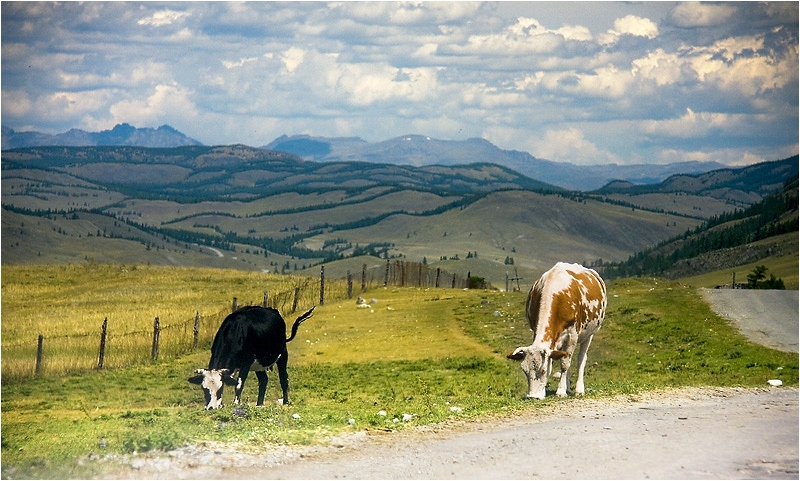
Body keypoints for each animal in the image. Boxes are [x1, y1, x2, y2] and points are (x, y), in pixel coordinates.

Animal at [506, 262, 608, 398]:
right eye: (525, 371)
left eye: (543, 370)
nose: (532, 396)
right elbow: (560, 360)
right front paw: (561, 388)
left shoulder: (572, 335)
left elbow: (565, 364)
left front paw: (560, 391)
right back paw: (567, 386)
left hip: (589, 334)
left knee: (581, 359)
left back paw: (579, 389)